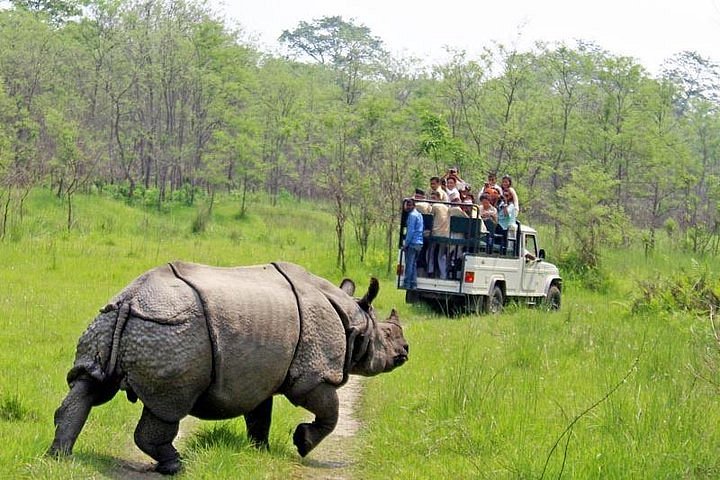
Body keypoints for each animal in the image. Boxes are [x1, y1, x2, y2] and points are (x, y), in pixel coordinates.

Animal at [47, 261, 409, 475]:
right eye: (388, 335)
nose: (405, 352)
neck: (354, 320)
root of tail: (131, 300)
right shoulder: (314, 374)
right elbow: (329, 412)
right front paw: (303, 443)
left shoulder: (260, 375)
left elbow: (260, 416)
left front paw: (260, 451)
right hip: (173, 331)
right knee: (169, 406)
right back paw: (176, 465)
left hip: (109, 320)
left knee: (89, 385)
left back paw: (59, 457)